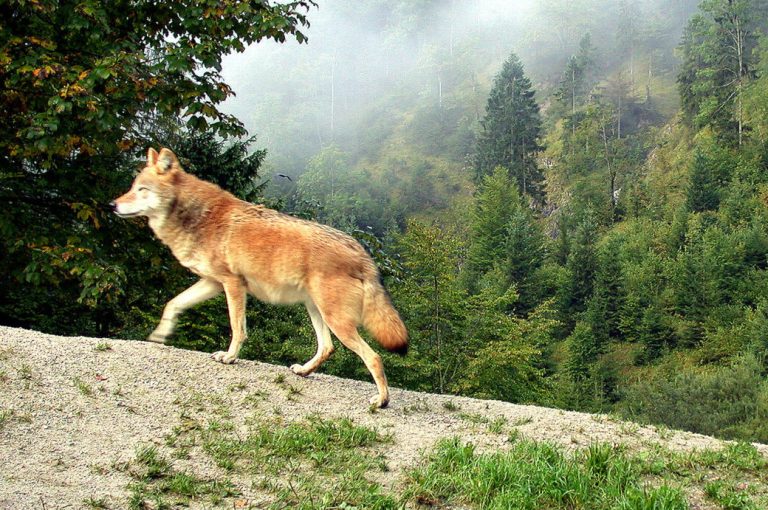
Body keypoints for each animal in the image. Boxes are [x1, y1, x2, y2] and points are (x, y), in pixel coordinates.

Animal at [111, 147, 408, 407]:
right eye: (132, 187)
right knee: (327, 348)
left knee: (374, 356)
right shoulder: (212, 283)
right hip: (315, 311)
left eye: (141, 190)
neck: (198, 216)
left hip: (337, 321)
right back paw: (303, 371)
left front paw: (229, 357)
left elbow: (237, 327)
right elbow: (173, 304)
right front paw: (160, 335)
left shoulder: (233, 284)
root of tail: (362, 253)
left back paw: (382, 401)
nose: (112, 205)